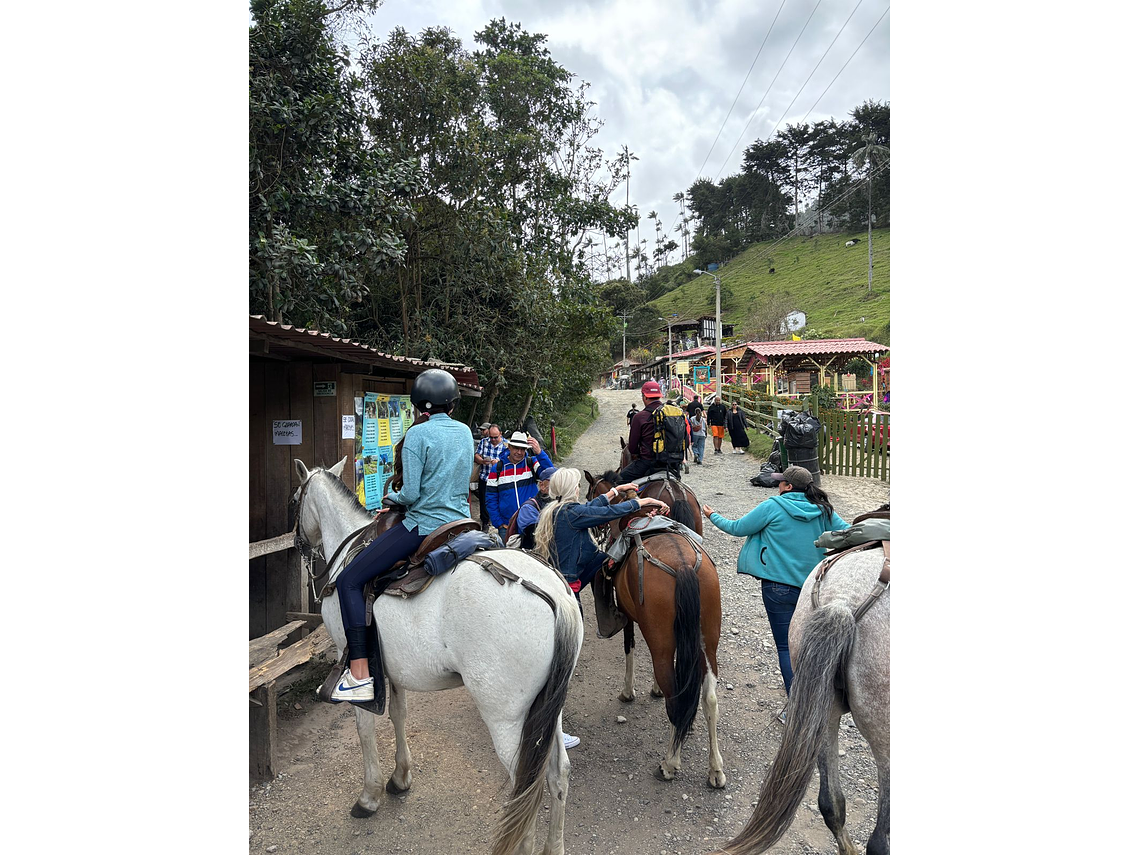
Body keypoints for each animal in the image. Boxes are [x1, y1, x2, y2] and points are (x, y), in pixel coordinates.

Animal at [296, 462, 579, 855]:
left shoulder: (352, 656)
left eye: (295, 499)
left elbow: (365, 728)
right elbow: (398, 715)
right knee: (558, 775)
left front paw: (369, 796)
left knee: (526, 789)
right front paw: (400, 778)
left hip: (508, 720)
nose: (298, 545)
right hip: (549, 707)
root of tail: (555, 597)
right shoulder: (392, 668)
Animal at [588, 478, 720, 788]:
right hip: (707, 641)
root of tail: (683, 566)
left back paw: (669, 764)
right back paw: (715, 770)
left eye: (590, 492)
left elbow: (630, 648)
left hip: (662, 642)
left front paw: (628, 691)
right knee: (709, 698)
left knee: (675, 700)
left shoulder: (630, 618)